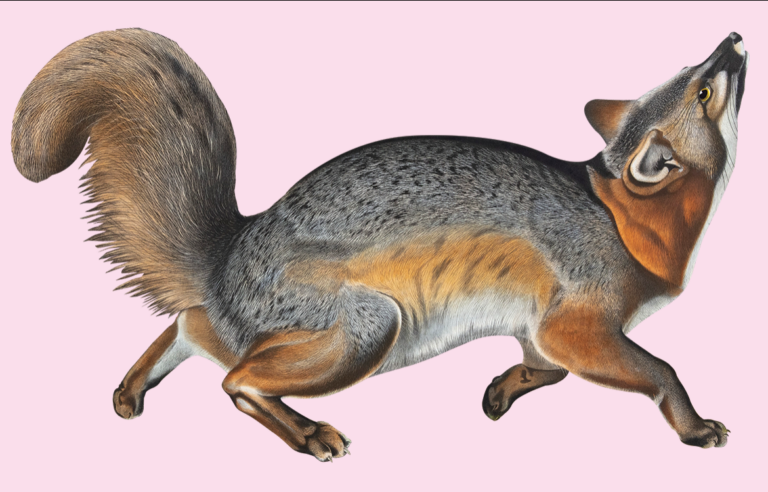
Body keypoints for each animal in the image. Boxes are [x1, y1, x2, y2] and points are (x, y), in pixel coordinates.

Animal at [11, 29, 748, 461]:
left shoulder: (545, 328)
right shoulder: (578, 324)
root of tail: (234, 249)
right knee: (235, 377)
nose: (735, 36)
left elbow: (547, 368)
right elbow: (660, 370)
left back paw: (134, 387)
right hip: (372, 330)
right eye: (703, 87)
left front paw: (501, 391)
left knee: (193, 324)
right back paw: (306, 434)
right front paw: (694, 427)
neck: (622, 213)